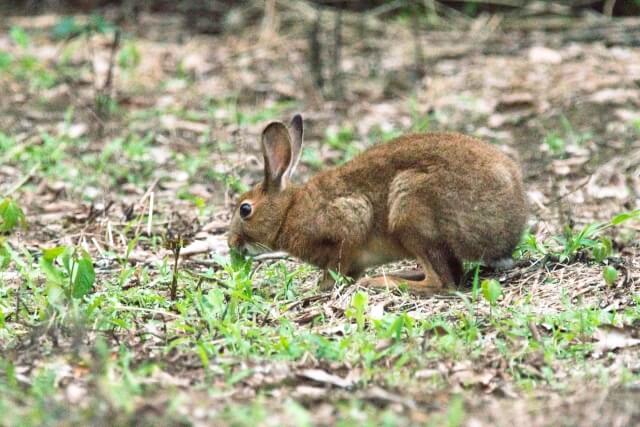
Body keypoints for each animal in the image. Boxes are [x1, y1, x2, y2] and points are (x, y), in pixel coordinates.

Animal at [228, 113, 528, 294]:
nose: (231, 243)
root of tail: (508, 232)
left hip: (410, 210)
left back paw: (383, 281)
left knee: (442, 282)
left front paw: (325, 286)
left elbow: (340, 260)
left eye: (245, 209)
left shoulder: (350, 219)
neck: (288, 211)